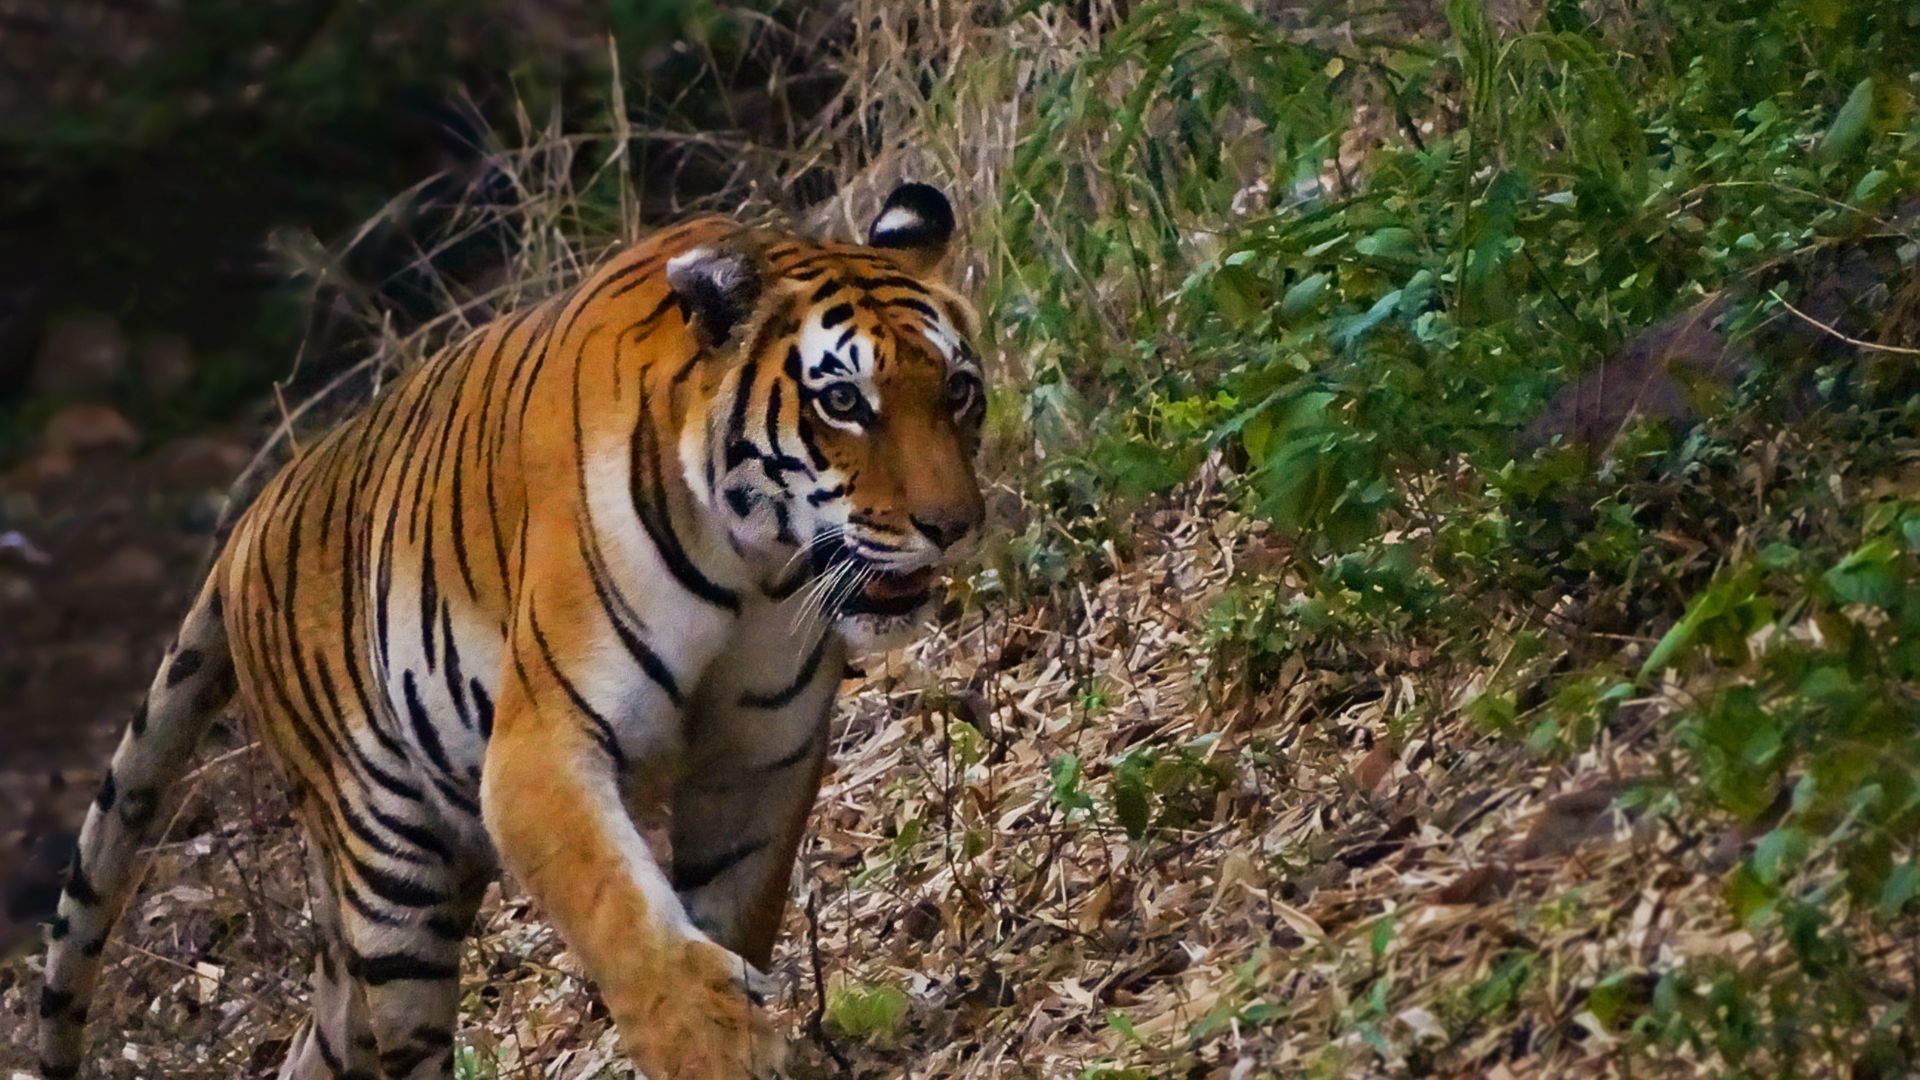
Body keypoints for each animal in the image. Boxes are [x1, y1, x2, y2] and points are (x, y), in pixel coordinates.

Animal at [35, 184, 983, 1076]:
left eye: (958, 390)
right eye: (843, 402)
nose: (953, 525)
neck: (756, 570)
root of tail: (242, 532)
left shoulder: (762, 756)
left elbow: (730, 906)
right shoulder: (541, 749)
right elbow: (620, 915)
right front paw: (717, 1046)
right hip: (393, 876)